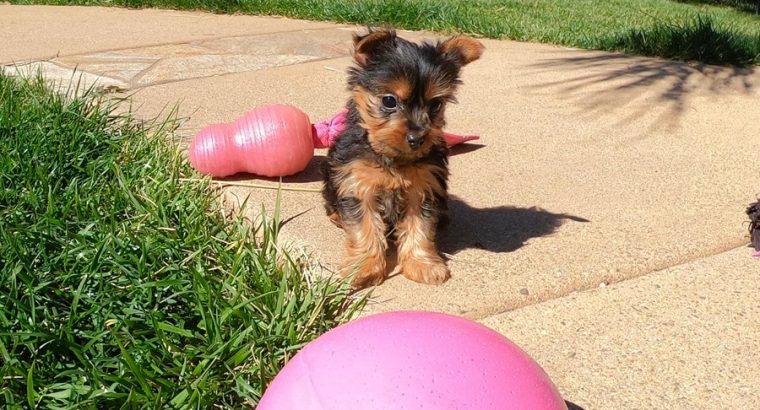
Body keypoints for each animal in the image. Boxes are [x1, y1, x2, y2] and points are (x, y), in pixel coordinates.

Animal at [320, 29, 480, 288]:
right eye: (389, 100)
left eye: (436, 104)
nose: (417, 138)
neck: (393, 158)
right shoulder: (357, 182)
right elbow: (364, 226)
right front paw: (364, 267)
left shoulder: (424, 186)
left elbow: (421, 226)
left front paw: (422, 264)